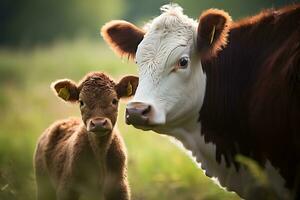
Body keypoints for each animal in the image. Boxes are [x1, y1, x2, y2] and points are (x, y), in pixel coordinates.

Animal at [33, 71, 138, 199]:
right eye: (81, 102)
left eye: (114, 100)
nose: (98, 123)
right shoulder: (67, 189)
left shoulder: (120, 189)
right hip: (43, 184)